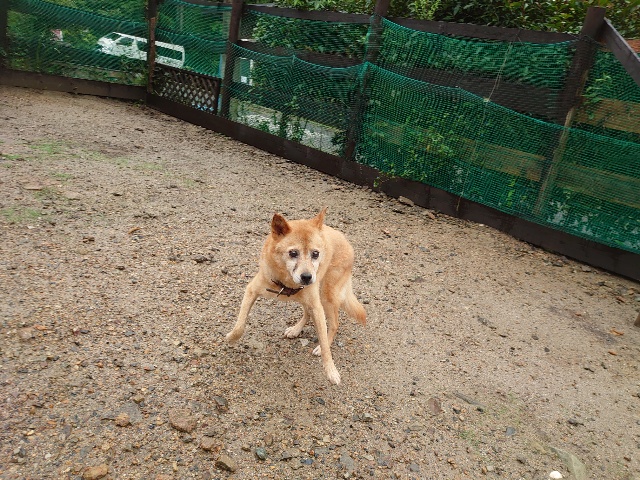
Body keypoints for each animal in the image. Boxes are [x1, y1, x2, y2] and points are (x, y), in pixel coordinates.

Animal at [225, 207, 366, 385]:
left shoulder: (317, 307)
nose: (307, 277)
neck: (287, 282)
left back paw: (321, 344)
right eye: (293, 253)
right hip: (312, 299)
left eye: (315, 254)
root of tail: (345, 240)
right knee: (307, 313)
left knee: (334, 324)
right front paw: (231, 338)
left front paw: (331, 370)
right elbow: (239, 326)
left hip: (325, 296)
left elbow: (325, 344)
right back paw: (296, 329)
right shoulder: (251, 291)